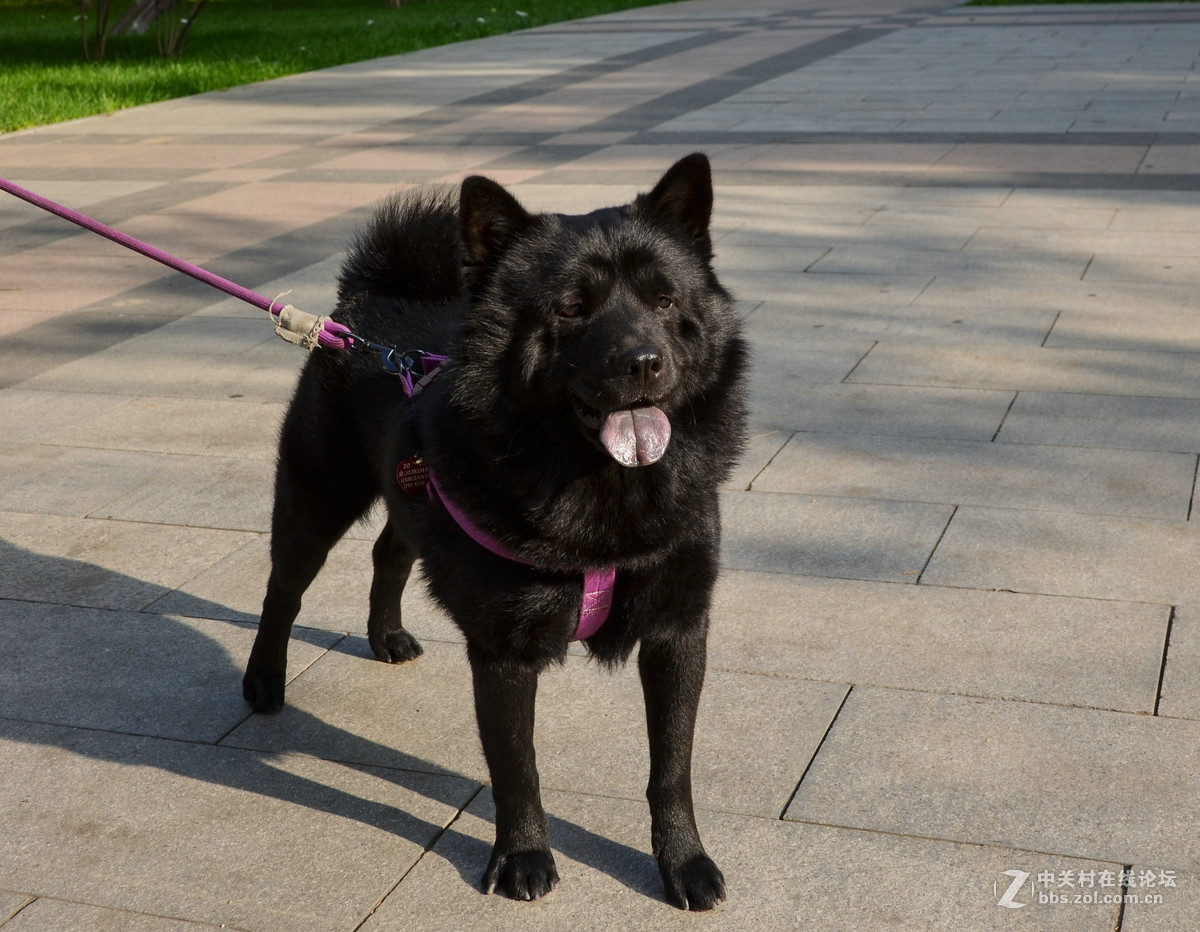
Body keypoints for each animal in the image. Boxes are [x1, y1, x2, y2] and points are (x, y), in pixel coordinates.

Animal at [242, 154, 744, 906]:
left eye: (663, 300)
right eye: (571, 308)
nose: (644, 362)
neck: (597, 482)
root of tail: (363, 305)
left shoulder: (678, 629)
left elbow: (672, 767)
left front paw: (683, 862)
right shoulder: (503, 649)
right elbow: (517, 767)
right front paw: (523, 858)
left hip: (414, 490)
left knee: (390, 552)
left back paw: (386, 636)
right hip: (317, 496)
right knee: (284, 589)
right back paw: (264, 680)